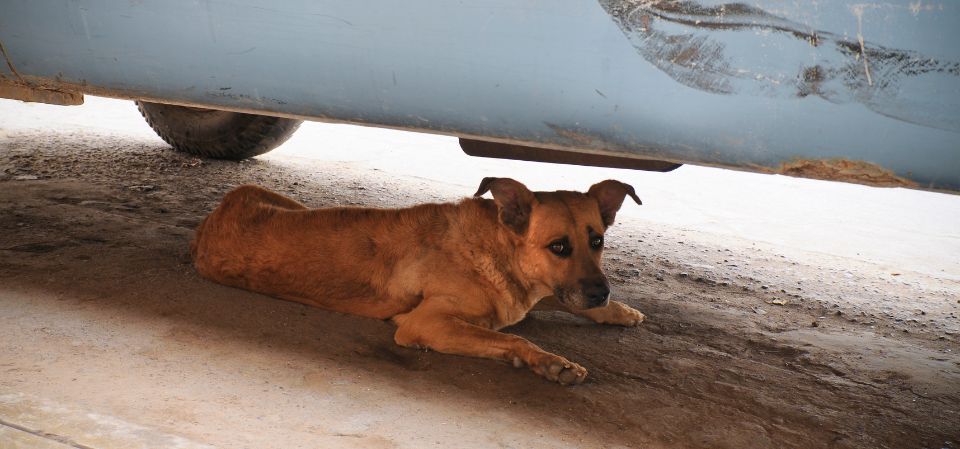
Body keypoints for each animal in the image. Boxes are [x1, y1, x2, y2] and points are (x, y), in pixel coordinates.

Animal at [191, 177, 644, 384]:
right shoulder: (427, 322)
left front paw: (618, 311)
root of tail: (210, 222)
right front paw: (551, 362)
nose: (601, 293)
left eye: (597, 240)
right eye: (558, 247)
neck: (497, 249)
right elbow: (513, 337)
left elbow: (552, 299)